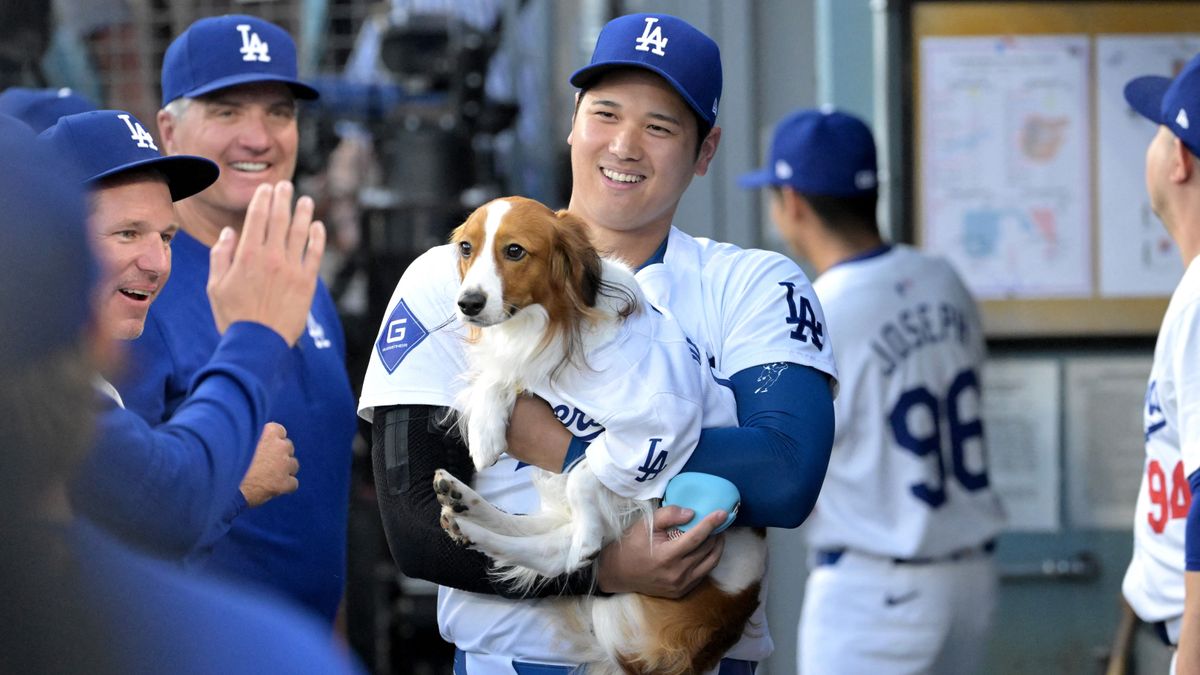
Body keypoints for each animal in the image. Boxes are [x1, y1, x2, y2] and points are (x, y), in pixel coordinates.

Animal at [436, 195, 763, 672]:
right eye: (466, 248)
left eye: (514, 251)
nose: (468, 303)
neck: (556, 323)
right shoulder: (533, 368)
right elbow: (499, 378)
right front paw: (485, 433)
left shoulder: (659, 433)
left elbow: (585, 474)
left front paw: (587, 536)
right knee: (539, 542)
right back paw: (464, 508)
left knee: (555, 550)